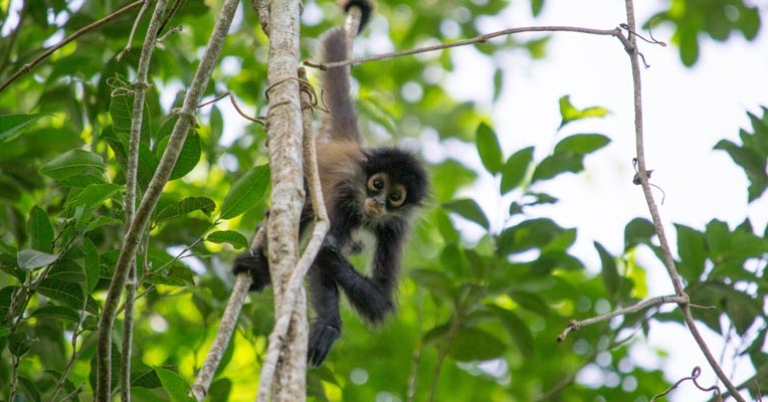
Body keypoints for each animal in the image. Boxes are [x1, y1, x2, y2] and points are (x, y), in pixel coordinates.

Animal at [233, 0, 429, 367]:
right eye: (377, 184)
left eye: (395, 197)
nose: (379, 203)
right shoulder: (340, 196)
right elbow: (317, 258)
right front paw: (328, 324)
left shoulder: (396, 227)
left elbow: (379, 299)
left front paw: (333, 255)